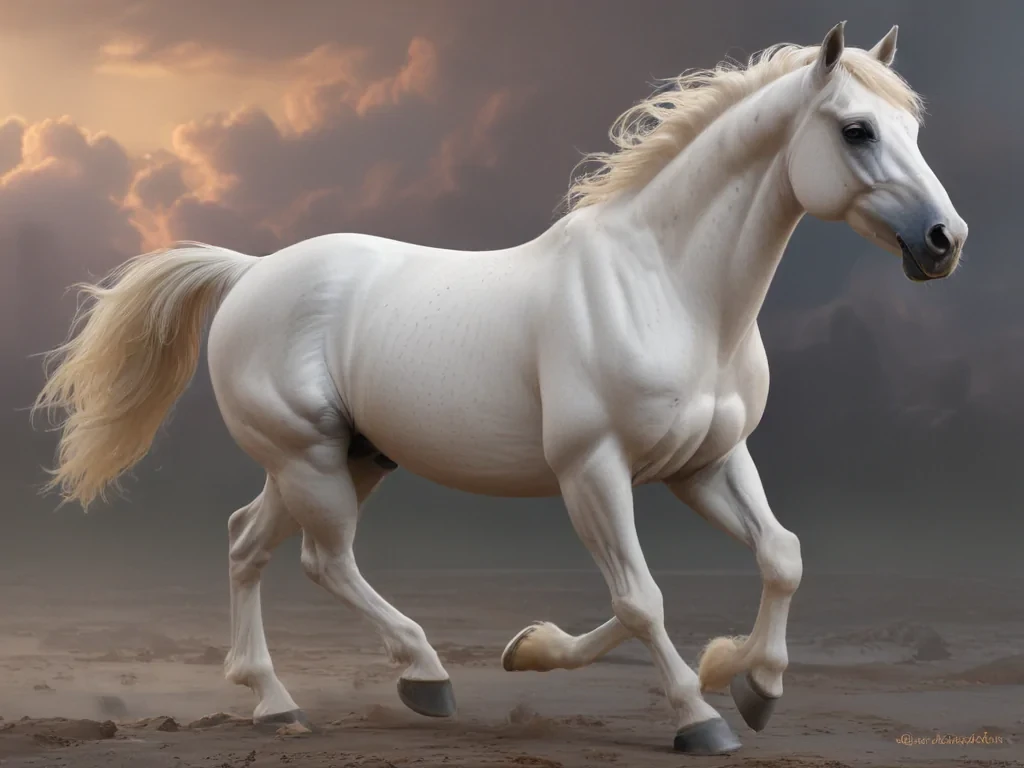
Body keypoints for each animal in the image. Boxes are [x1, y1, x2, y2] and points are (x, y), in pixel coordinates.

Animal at [33, 22, 967, 756]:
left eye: (914, 126)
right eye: (856, 130)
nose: (944, 240)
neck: (668, 289)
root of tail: (251, 272)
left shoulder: (706, 463)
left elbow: (781, 556)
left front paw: (745, 680)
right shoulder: (592, 470)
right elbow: (641, 598)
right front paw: (701, 715)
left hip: (349, 459)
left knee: (244, 543)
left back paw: (276, 704)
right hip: (309, 460)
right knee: (321, 560)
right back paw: (423, 678)